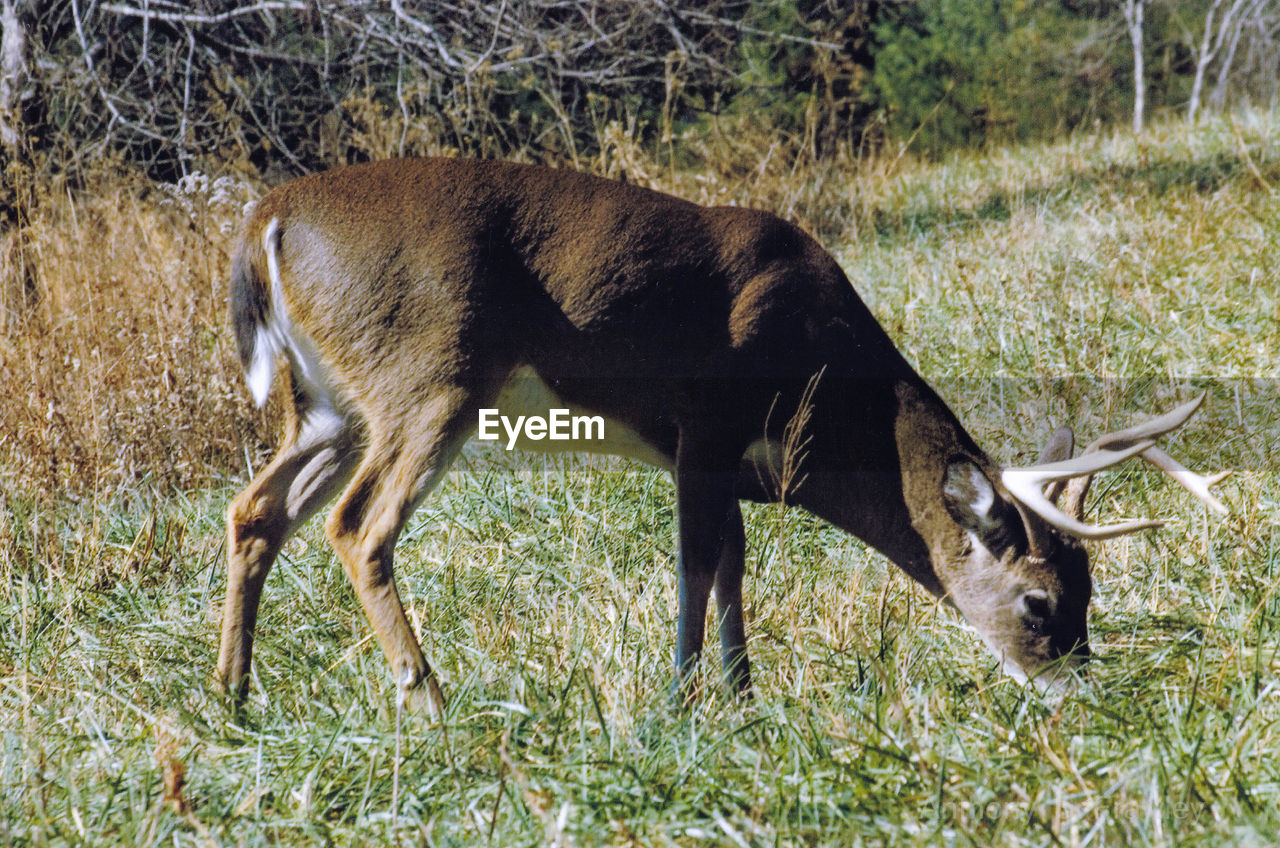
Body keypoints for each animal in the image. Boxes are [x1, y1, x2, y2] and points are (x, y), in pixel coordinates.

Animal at [217, 157, 1228, 712]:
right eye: (1039, 603)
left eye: (1091, 591)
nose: (1080, 692)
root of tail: (266, 219)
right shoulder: (701, 430)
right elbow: (697, 562)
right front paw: (681, 704)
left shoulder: (730, 464)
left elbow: (735, 563)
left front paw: (744, 699)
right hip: (427, 375)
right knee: (359, 527)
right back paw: (434, 705)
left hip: (329, 407)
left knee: (255, 511)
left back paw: (231, 702)